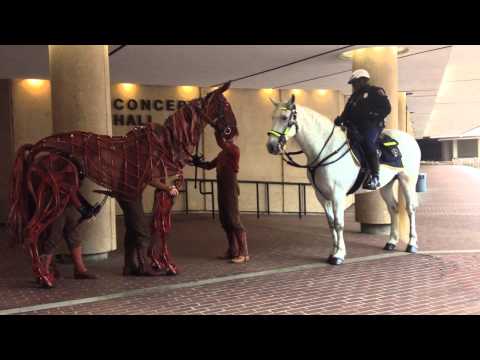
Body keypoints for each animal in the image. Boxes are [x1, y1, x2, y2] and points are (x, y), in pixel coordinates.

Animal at [266, 95, 420, 264]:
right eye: (271, 117)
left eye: (284, 117)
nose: (271, 146)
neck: (326, 150)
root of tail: (411, 140)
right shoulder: (321, 196)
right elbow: (331, 223)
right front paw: (333, 252)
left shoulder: (337, 195)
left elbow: (339, 223)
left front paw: (339, 255)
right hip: (386, 185)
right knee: (393, 208)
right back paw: (391, 242)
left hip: (407, 180)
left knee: (410, 209)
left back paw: (411, 244)